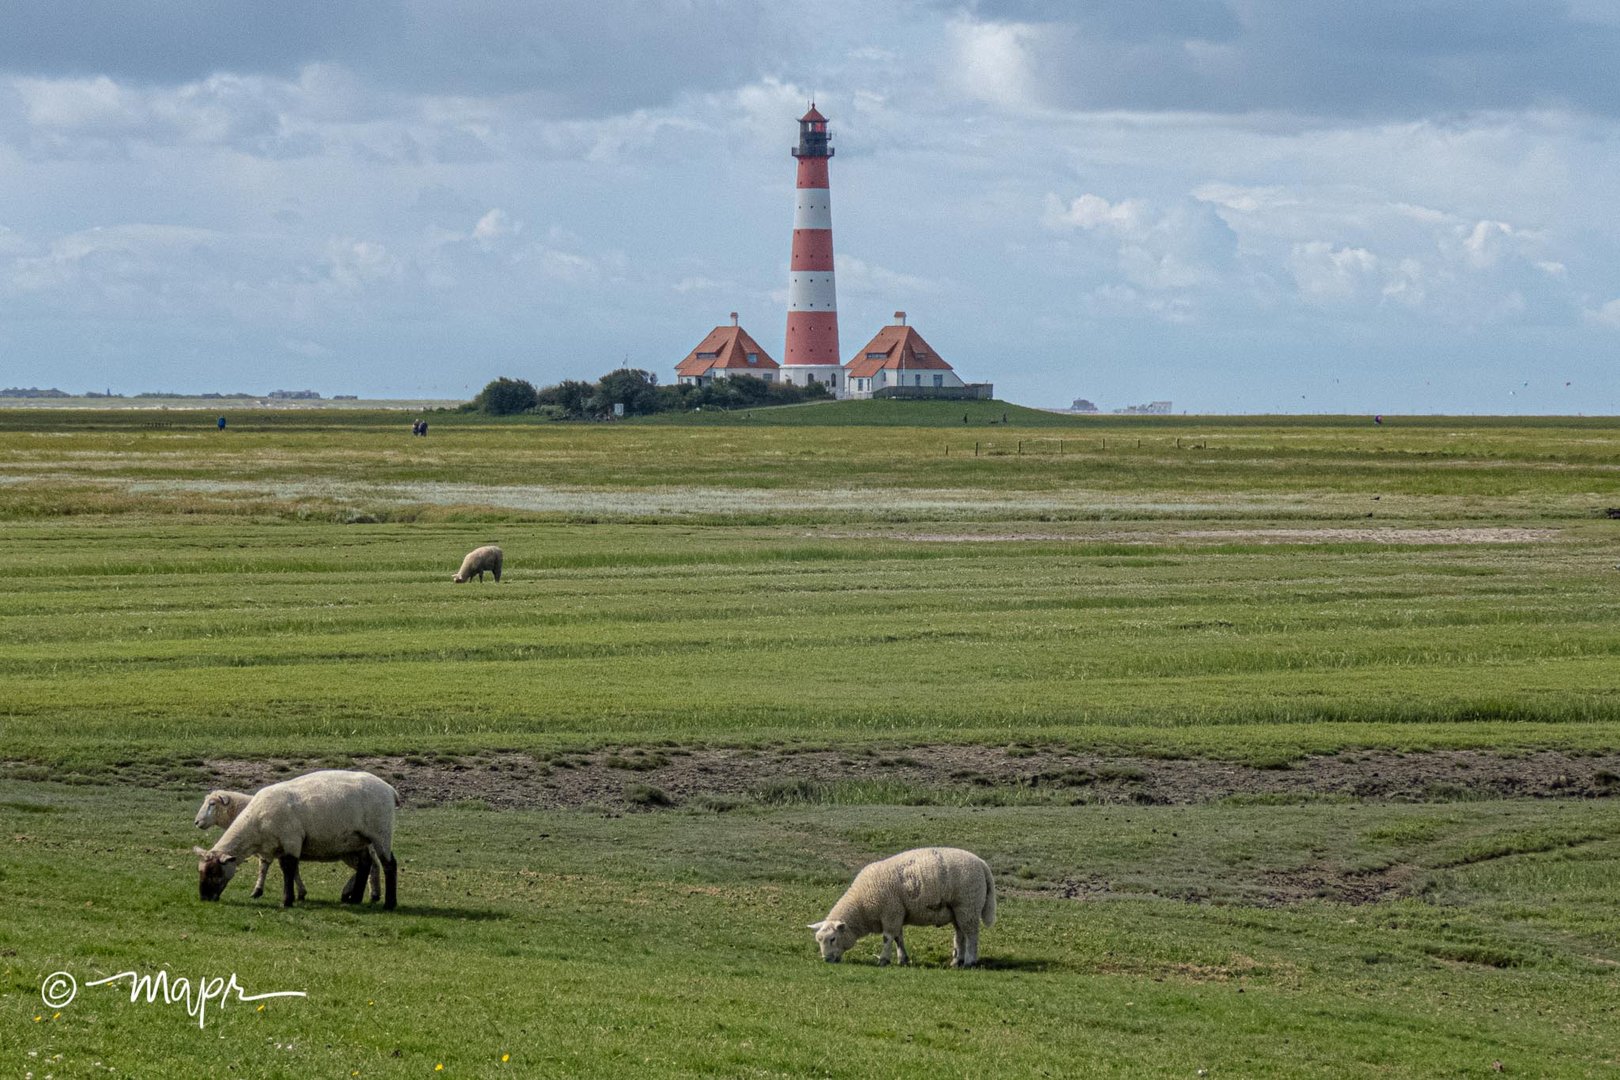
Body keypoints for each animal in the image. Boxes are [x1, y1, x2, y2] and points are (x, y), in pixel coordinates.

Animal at [195, 767, 398, 913]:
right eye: (200, 871)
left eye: (214, 872)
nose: (204, 898)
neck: (254, 822)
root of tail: (390, 789)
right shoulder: (276, 846)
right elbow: (285, 869)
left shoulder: (291, 840)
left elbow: (289, 868)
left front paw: (287, 900)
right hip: (356, 839)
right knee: (365, 864)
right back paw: (355, 899)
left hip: (380, 832)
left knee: (388, 864)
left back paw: (389, 903)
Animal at [806, 848, 991, 965]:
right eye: (818, 940)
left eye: (833, 939)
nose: (827, 960)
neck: (862, 904)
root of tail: (981, 863)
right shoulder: (896, 914)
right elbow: (898, 938)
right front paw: (903, 959)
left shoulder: (890, 912)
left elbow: (887, 938)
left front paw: (883, 960)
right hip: (958, 910)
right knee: (960, 934)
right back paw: (956, 960)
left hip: (968, 905)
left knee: (971, 934)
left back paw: (969, 961)